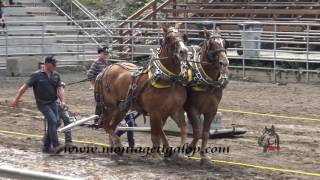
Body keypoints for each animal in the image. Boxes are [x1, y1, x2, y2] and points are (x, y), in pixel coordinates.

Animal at [96, 25, 189, 160]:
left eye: (183, 36)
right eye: (169, 38)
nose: (184, 52)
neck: (169, 79)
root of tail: (106, 69)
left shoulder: (175, 110)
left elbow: (182, 129)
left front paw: (179, 153)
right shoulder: (155, 112)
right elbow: (155, 135)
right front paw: (156, 155)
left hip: (122, 108)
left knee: (112, 126)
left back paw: (115, 148)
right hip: (110, 106)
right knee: (107, 125)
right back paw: (118, 144)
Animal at [185, 29, 230, 166]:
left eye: (224, 42)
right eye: (211, 44)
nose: (224, 63)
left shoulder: (211, 111)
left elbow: (205, 133)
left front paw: (204, 156)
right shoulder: (192, 109)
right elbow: (197, 132)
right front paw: (189, 149)